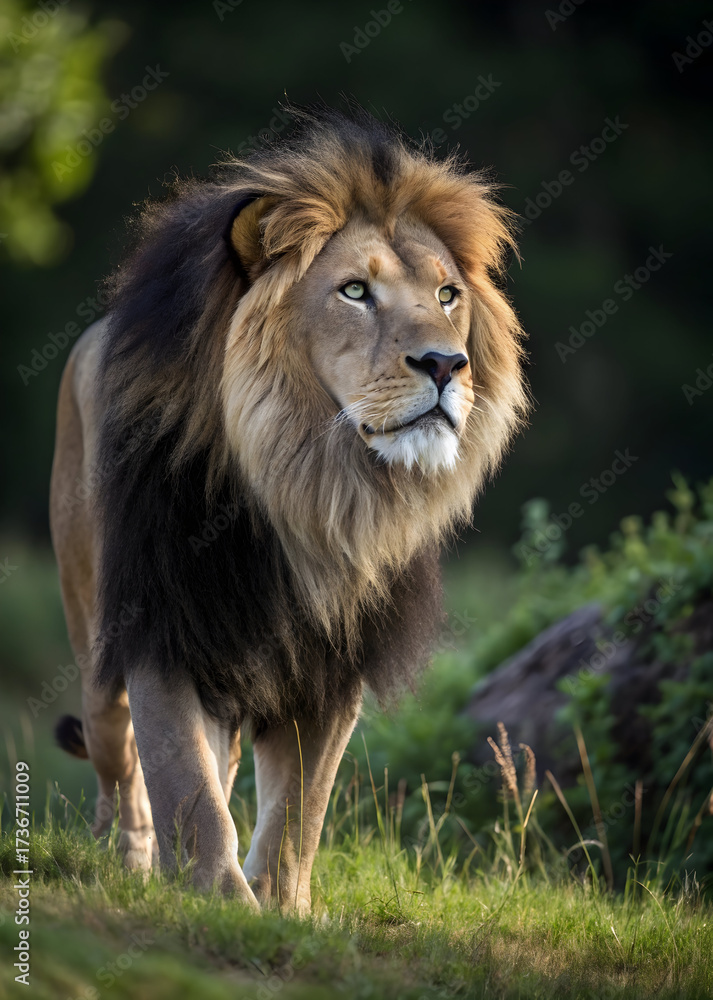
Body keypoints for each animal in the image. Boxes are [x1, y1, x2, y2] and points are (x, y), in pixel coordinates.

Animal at [50, 107, 528, 914]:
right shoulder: (164, 626)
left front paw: (282, 909)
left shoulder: (332, 662)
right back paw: (134, 862)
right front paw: (220, 900)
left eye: (447, 296)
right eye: (355, 292)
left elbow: (302, 805)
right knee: (122, 770)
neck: (309, 485)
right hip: (97, 647)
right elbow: (187, 784)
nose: (445, 365)